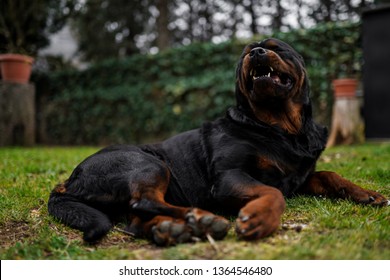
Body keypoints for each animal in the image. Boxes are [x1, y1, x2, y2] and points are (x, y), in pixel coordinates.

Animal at [47, 38, 388, 245]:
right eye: (247, 53)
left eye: (277, 48)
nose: (257, 53)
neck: (278, 127)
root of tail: (68, 182)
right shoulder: (229, 177)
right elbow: (272, 192)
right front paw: (260, 218)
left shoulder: (299, 175)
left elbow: (329, 174)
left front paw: (367, 193)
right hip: (148, 162)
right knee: (142, 200)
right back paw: (202, 219)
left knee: (135, 219)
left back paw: (173, 229)